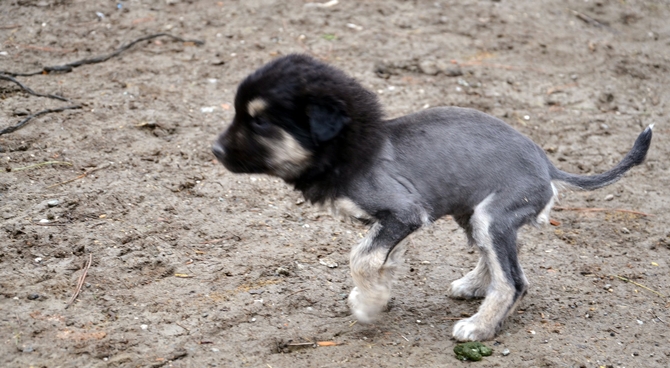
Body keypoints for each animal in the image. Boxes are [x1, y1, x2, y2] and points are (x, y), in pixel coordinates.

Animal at [213, 53, 652, 340]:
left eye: (260, 121)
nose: (215, 150)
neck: (354, 148)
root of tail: (547, 167)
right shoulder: (392, 225)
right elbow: (381, 259)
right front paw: (377, 295)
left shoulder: (404, 214)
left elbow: (361, 258)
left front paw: (368, 305)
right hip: (474, 214)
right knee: (498, 257)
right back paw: (474, 285)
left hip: (493, 216)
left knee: (514, 281)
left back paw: (480, 327)